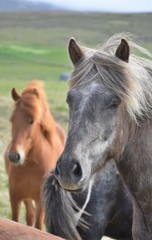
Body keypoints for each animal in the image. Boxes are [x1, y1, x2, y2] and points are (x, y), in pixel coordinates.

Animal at [4, 81, 65, 230]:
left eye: (31, 121)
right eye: (12, 120)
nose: (14, 156)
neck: (32, 165)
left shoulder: (41, 201)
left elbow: (38, 226)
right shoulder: (15, 197)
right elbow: (16, 221)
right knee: (29, 215)